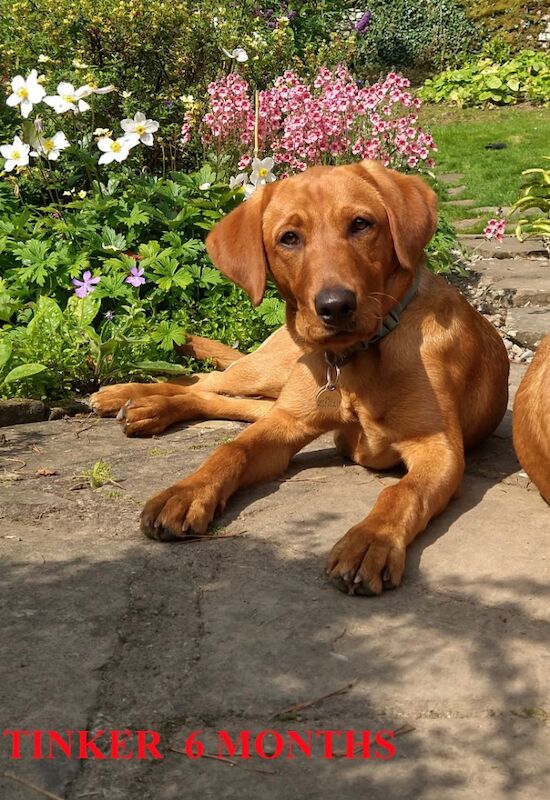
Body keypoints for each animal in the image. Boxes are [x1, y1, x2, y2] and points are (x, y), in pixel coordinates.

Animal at [89, 161, 508, 592]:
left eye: (361, 224)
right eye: (289, 238)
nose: (335, 306)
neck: (357, 358)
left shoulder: (438, 448)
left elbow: (401, 492)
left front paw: (370, 539)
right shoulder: (287, 422)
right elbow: (231, 449)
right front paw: (186, 491)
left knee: (215, 397)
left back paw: (148, 408)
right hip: (270, 376)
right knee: (204, 383)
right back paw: (124, 395)